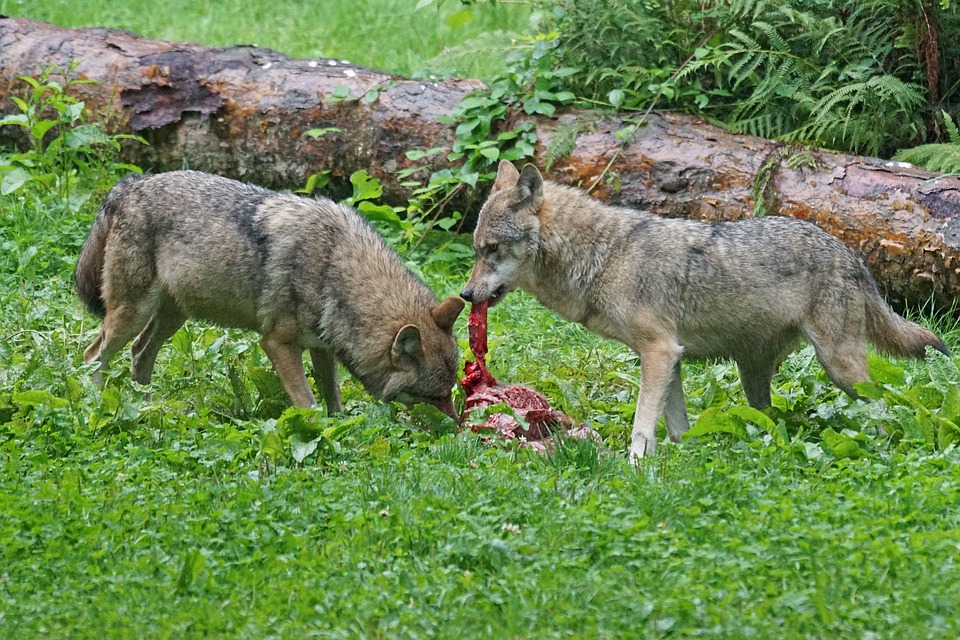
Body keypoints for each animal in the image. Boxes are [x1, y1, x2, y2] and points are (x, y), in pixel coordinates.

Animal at [75, 170, 464, 418]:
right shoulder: (277, 344)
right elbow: (307, 404)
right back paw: (99, 403)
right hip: (132, 313)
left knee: (139, 354)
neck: (334, 266)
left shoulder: (323, 348)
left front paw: (340, 428)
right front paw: (316, 433)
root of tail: (130, 184)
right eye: (435, 396)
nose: (456, 426)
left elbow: (333, 400)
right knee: (94, 355)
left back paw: (146, 405)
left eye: (450, 392)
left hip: (172, 317)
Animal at [461, 160, 950, 460]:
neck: (604, 256)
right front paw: (682, 457)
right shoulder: (669, 358)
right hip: (755, 373)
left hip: (840, 366)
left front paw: (633, 466)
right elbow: (676, 426)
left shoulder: (659, 352)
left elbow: (642, 426)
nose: (465, 295)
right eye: (476, 249)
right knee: (767, 417)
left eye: (491, 250)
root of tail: (851, 253)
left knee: (887, 408)